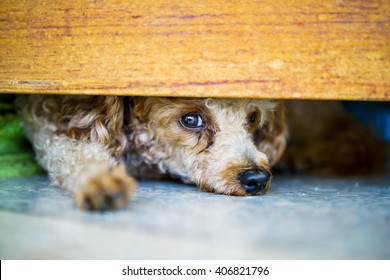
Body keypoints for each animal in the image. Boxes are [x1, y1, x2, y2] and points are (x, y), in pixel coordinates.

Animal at [14, 95, 384, 210]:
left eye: (252, 117)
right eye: (190, 119)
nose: (257, 179)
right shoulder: (48, 129)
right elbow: (72, 154)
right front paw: (101, 182)